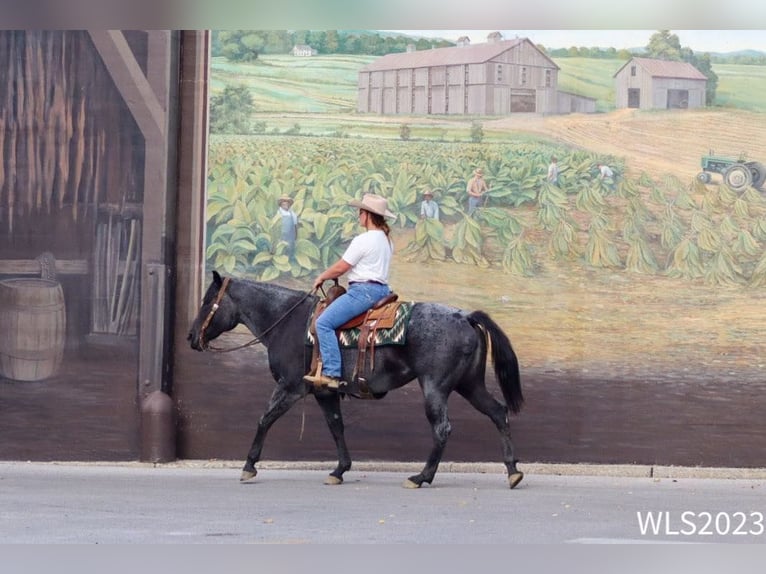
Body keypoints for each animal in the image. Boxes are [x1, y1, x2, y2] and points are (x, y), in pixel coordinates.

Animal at [189, 274, 524, 490]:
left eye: (207, 302)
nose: (191, 337)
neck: (286, 321)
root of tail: (465, 316)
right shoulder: (324, 392)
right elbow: (336, 426)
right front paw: (340, 469)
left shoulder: (290, 386)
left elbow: (265, 419)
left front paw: (249, 466)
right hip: (470, 384)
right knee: (498, 412)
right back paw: (512, 471)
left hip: (435, 386)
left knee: (442, 428)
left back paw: (421, 477)